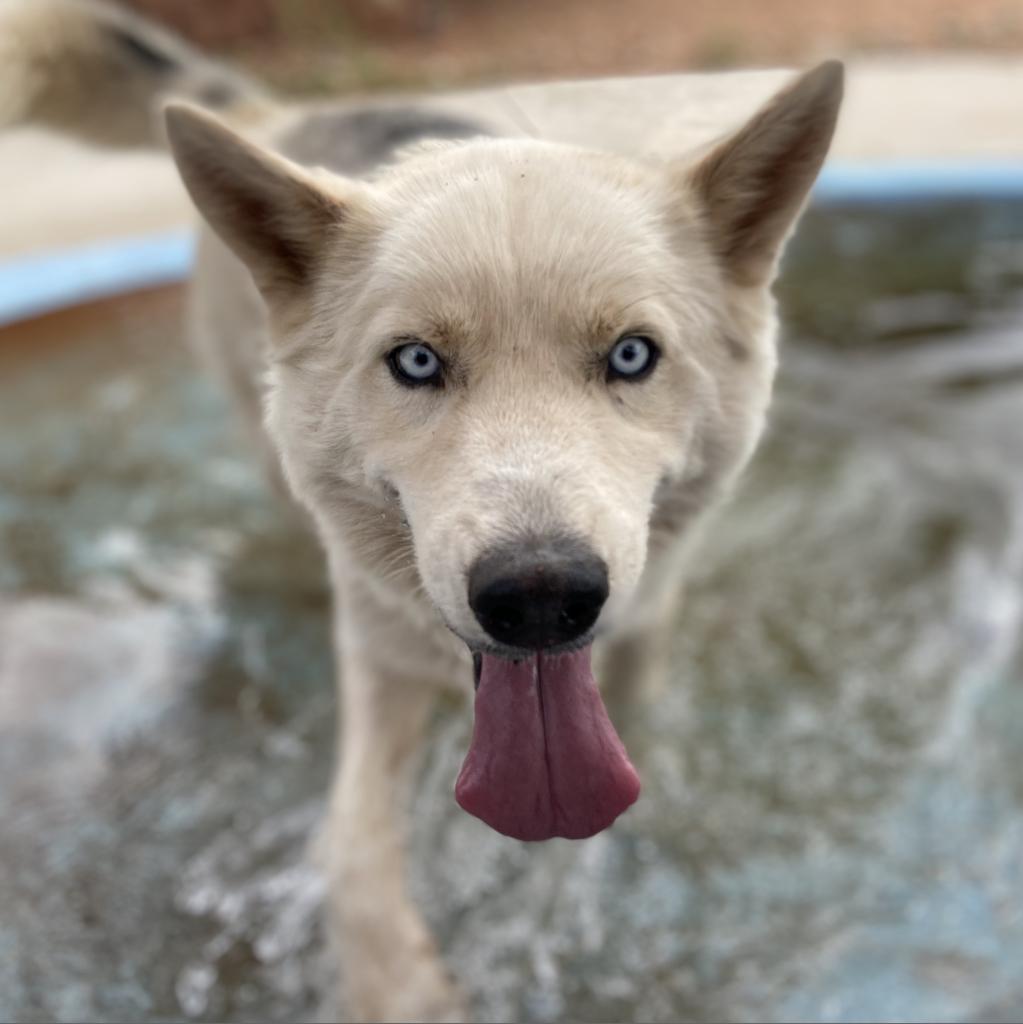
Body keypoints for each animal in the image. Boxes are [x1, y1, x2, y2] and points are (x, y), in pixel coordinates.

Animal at [4, 4, 843, 1019]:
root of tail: (277, 111)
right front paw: (398, 986)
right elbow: (353, 853)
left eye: (631, 355)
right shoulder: (376, 661)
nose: (539, 596)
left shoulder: (648, 627)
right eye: (415, 362)